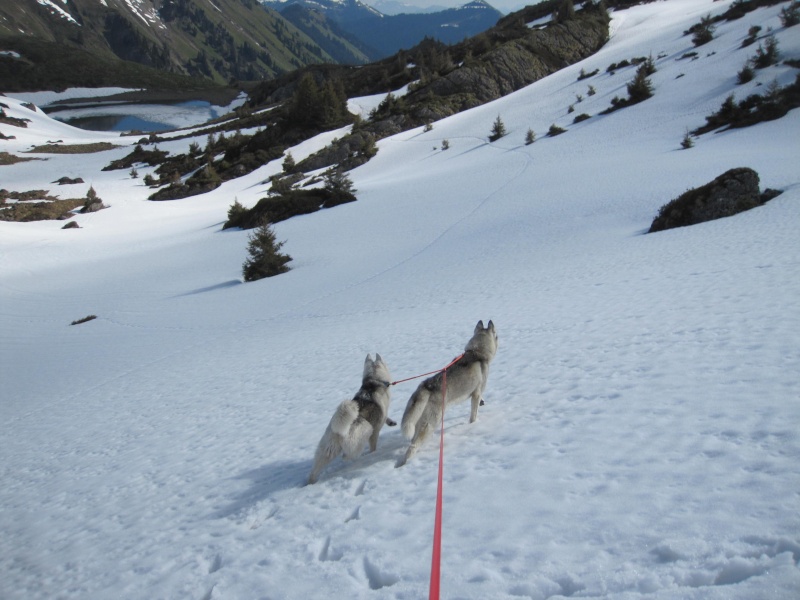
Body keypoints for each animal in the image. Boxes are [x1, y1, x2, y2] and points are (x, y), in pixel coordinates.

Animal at [306, 354, 396, 486]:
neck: (373, 381)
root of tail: (339, 430)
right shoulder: (375, 430)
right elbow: (374, 445)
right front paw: (373, 453)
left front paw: (391, 422)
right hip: (366, 430)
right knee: (347, 456)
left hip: (326, 450)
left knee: (315, 469)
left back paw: (311, 482)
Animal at [396, 322, 496, 466]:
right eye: (497, 336)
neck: (477, 352)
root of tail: (425, 386)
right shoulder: (477, 393)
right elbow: (473, 415)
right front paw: (473, 424)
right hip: (431, 423)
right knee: (413, 447)